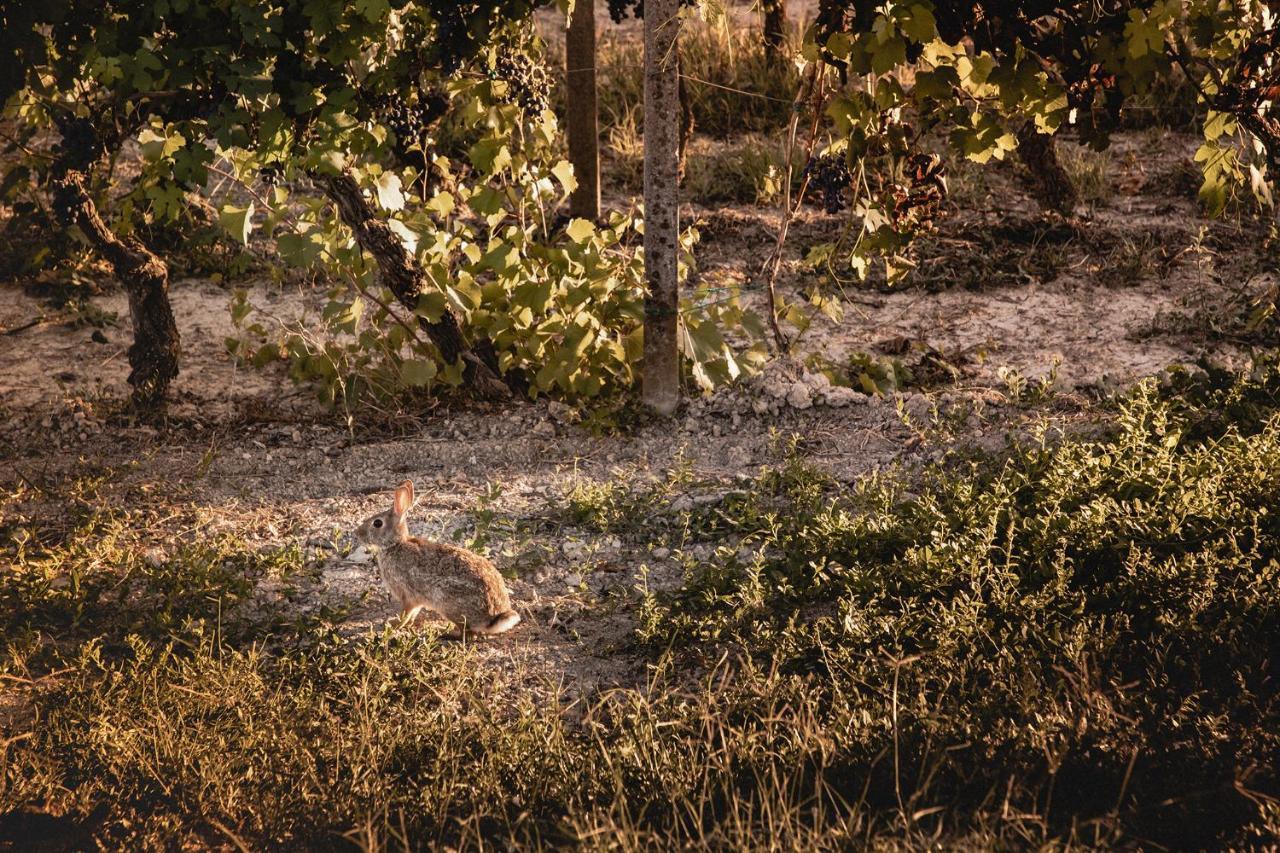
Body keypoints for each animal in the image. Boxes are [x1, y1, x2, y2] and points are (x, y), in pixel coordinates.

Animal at [350, 479, 519, 630]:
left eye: (377, 523)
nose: (357, 533)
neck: (395, 544)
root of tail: (491, 619)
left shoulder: (407, 595)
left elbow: (406, 612)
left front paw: (394, 624)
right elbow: (414, 613)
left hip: (446, 600)